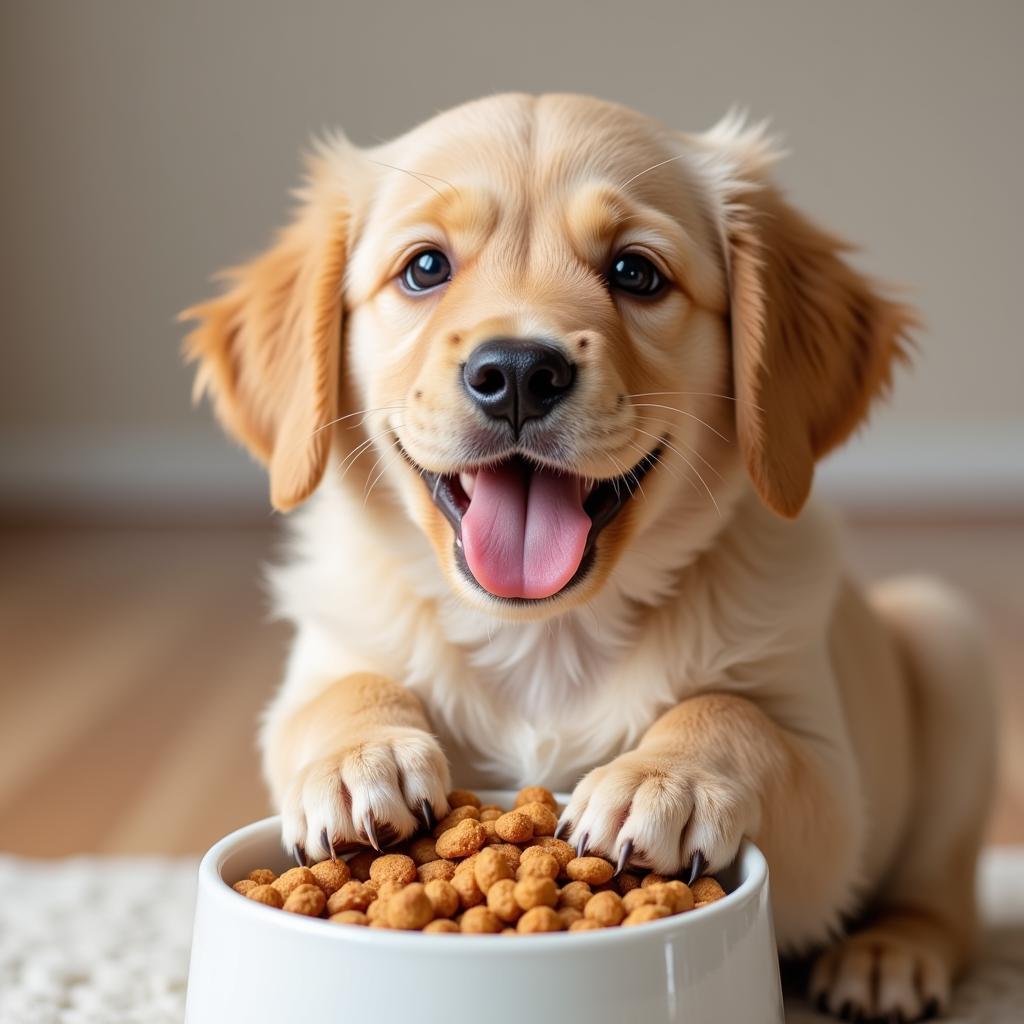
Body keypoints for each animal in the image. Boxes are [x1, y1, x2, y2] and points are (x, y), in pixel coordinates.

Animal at [182, 94, 991, 1015]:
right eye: (424, 268)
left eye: (636, 272)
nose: (516, 371)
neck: (544, 636)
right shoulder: (324, 659)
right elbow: (340, 692)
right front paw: (361, 757)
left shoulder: (833, 805)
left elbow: (735, 714)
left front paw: (660, 779)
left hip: (947, 642)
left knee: (944, 892)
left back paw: (890, 953)